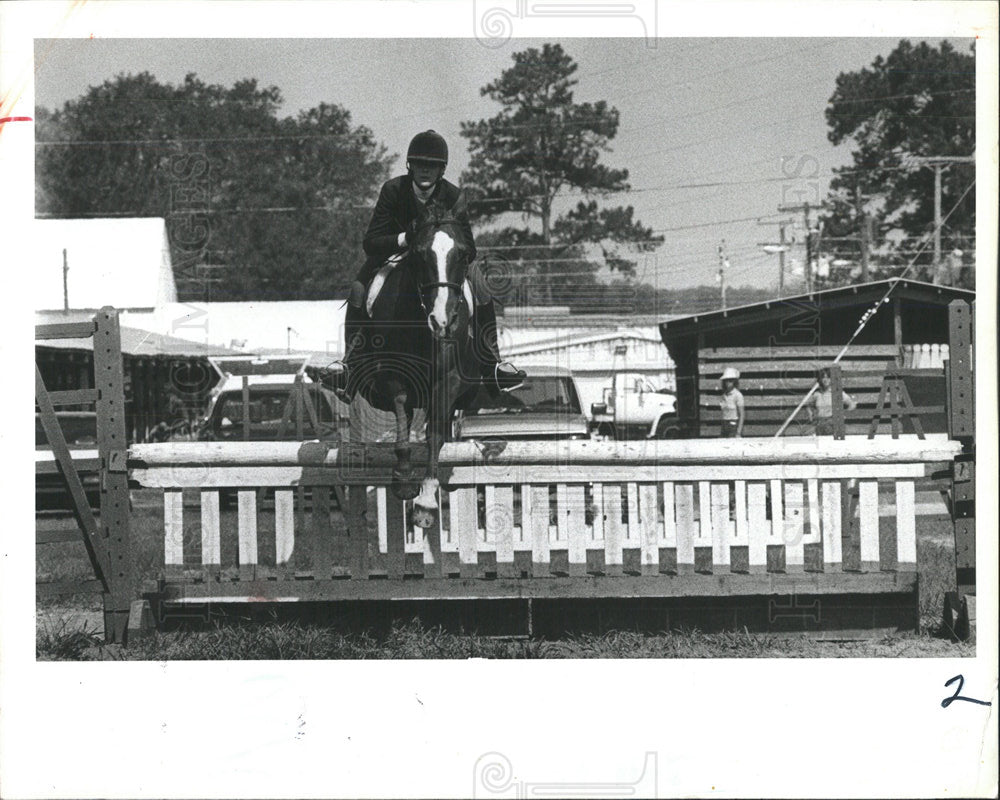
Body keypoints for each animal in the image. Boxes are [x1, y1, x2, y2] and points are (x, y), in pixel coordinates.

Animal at [344, 199, 484, 528]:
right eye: (420, 254)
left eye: (463, 253)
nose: (442, 322)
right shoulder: (393, 376)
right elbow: (401, 413)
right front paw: (406, 480)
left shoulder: (449, 380)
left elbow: (435, 435)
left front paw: (426, 502)